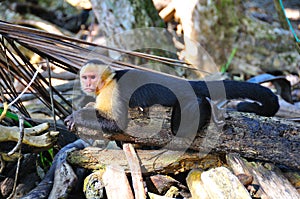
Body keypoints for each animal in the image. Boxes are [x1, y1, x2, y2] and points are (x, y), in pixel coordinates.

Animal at [64, 58, 280, 137]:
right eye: (85, 77)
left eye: (92, 77)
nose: (87, 83)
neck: (108, 82)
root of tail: (183, 82)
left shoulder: (112, 91)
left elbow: (117, 123)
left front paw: (76, 116)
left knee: (180, 125)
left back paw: (205, 105)